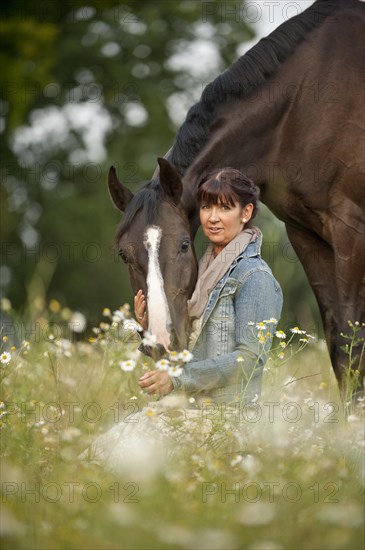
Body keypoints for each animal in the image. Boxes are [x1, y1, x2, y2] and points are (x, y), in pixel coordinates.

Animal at [108, 0, 364, 396]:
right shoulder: (307, 235)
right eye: (124, 253)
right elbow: (339, 346)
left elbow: (354, 344)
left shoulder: (351, 229)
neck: (303, 106)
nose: (162, 343)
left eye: (184, 245)